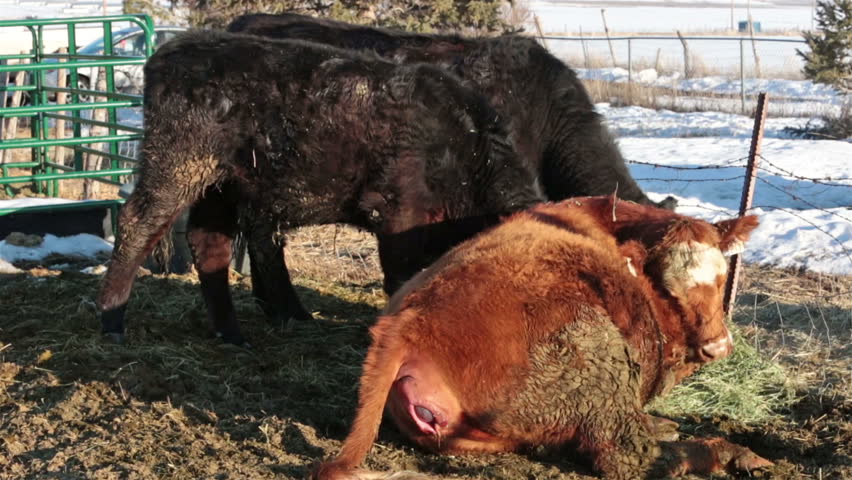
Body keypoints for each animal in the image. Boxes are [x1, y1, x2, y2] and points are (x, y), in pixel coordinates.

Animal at [97, 30, 543, 345]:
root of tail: (176, 47)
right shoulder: (398, 214)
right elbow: (401, 281)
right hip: (178, 165)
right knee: (138, 222)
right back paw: (112, 321)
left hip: (223, 185)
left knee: (210, 244)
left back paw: (232, 335)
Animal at [311, 196, 768, 480]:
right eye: (668, 288)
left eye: (722, 277)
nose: (717, 345)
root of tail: (405, 323)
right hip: (592, 350)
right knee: (626, 453)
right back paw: (729, 452)